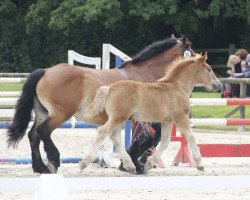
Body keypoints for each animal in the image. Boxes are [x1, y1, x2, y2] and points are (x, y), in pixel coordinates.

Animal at [5, 34, 193, 173]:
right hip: (61, 113)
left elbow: (147, 138)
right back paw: (53, 161)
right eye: (190, 50)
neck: (144, 74)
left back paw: (40, 167)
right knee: (43, 131)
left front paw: (131, 162)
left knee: (33, 135)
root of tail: (45, 71)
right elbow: (145, 139)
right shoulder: (138, 119)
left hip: (43, 113)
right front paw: (134, 164)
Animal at [81, 53, 221, 173]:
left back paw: (130, 166)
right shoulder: (181, 117)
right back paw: (84, 163)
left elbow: (165, 142)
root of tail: (109, 88)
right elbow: (191, 137)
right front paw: (200, 165)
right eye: (209, 69)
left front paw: (148, 165)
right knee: (102, 132)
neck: (177, 87)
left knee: (114, 137)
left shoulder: (167, 121)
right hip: (118, 118)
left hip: (119, 119)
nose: (218, 85)